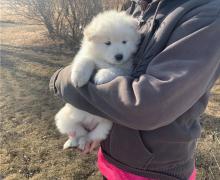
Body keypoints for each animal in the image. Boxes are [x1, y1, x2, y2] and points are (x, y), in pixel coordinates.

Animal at [55, 10, 141, 150]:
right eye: (107, 43)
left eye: (124, 42)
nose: (119, 56)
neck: (104, 60)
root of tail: (88, 123)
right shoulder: (85, 55)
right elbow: (85, 61)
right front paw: (78, 78)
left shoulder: (126, 68)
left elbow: (115, 70)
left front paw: (101, 76)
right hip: (64, 118)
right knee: (76, 133)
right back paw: (72, 142)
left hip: (104, 127)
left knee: (89, 136)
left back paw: (83, 142)